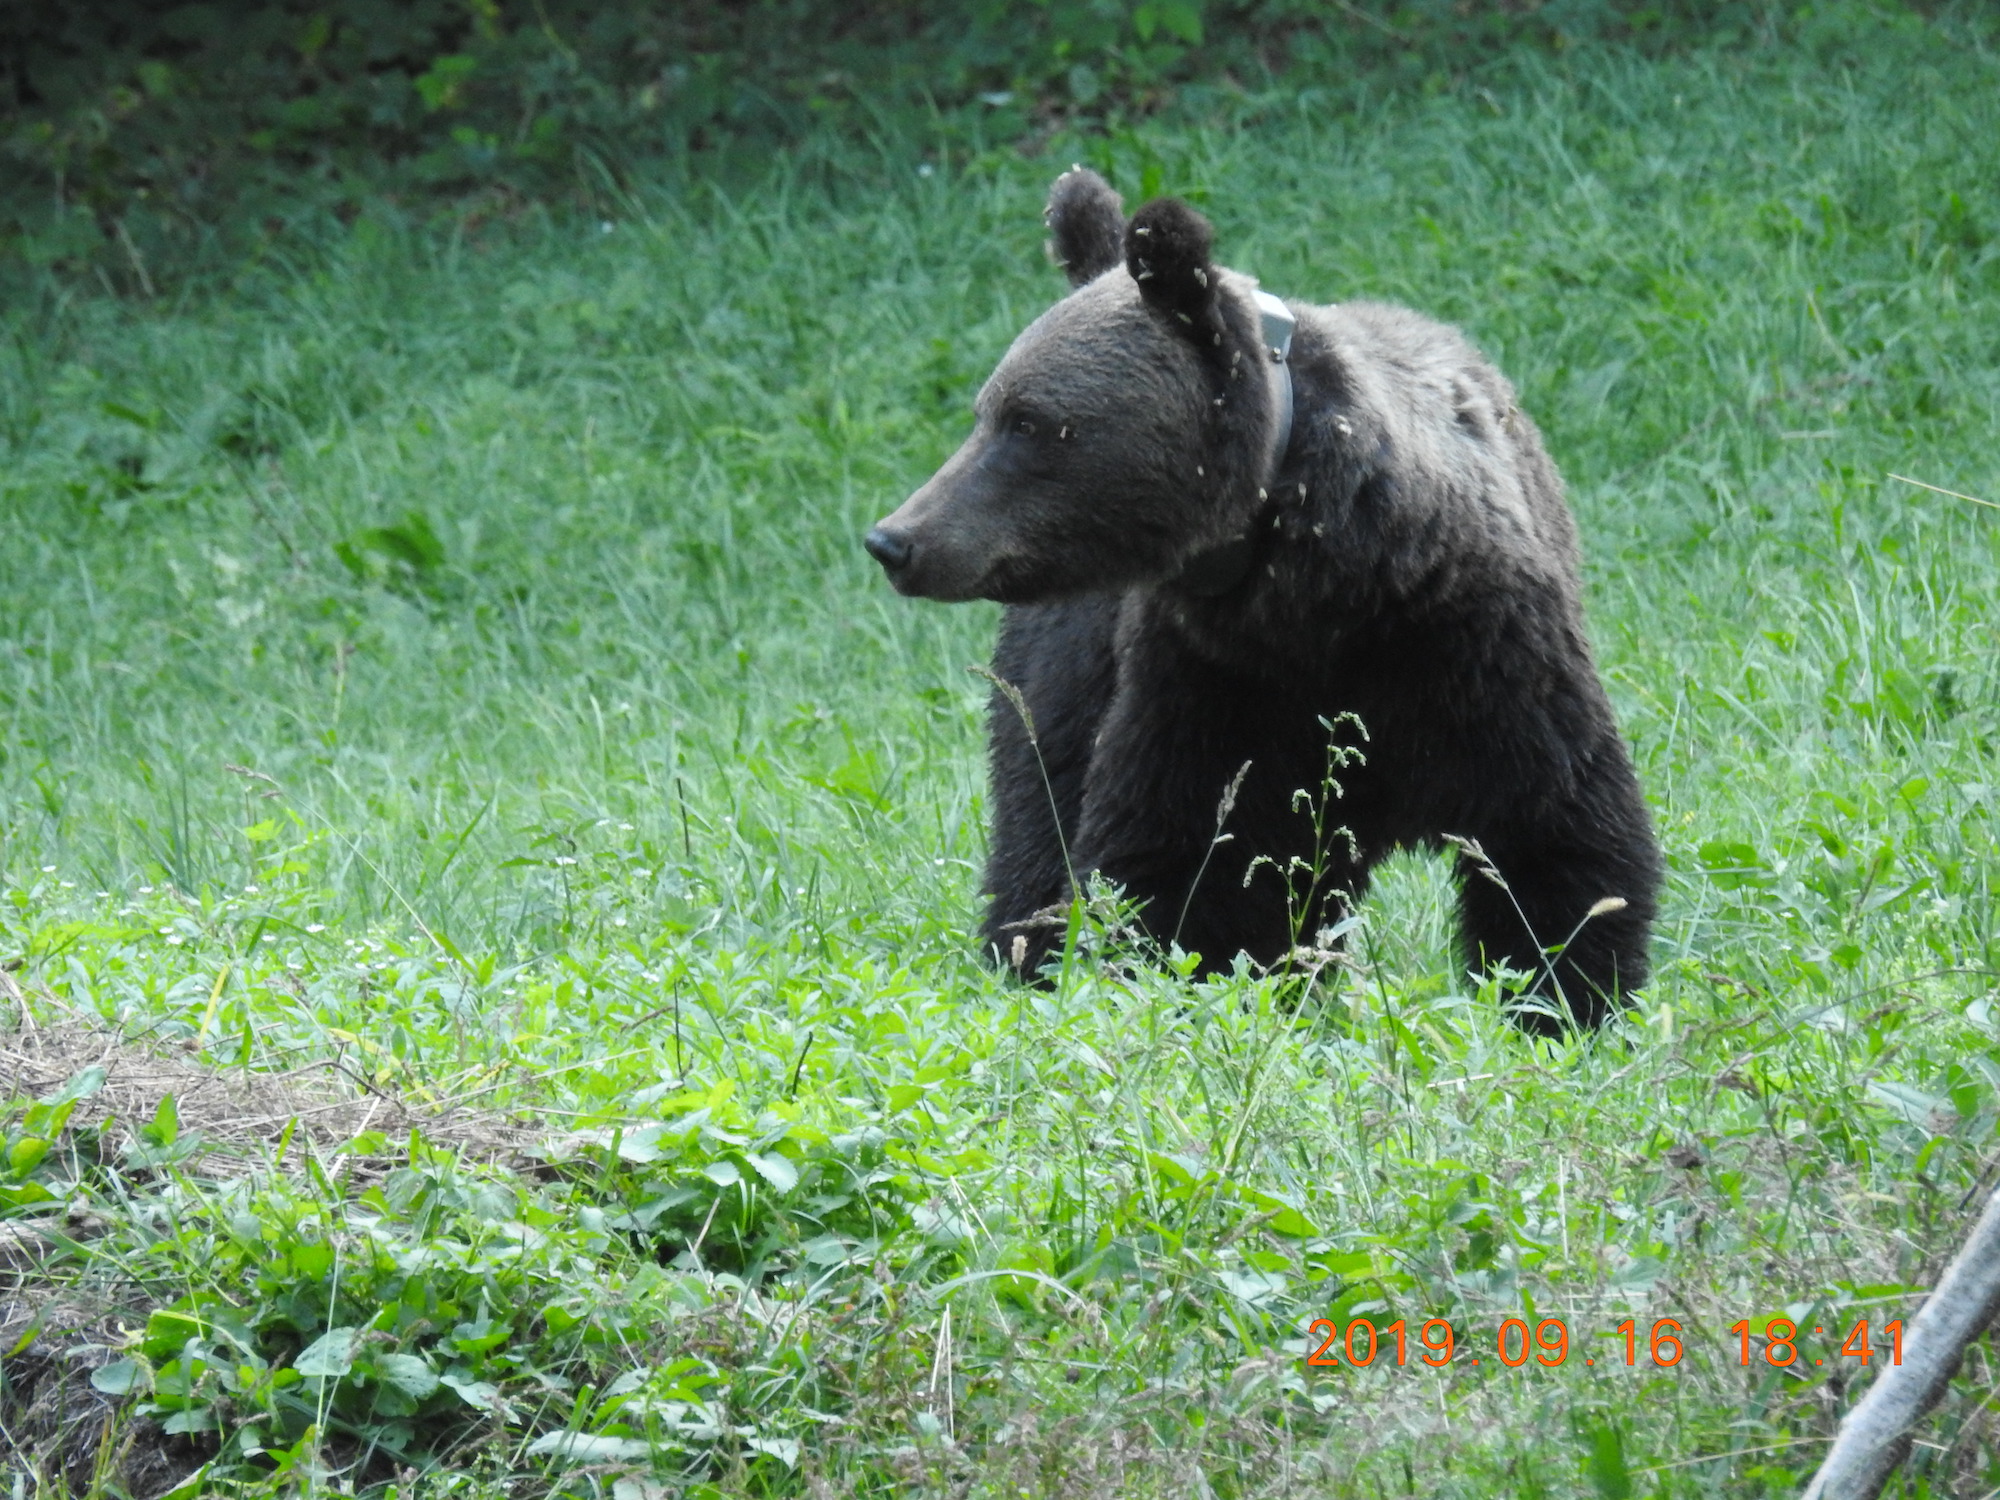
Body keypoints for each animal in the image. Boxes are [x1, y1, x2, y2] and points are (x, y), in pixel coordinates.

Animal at [860, 167, 1656, 1032]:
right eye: (988, 411)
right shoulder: (1214, 684)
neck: (1329, 590)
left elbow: (1556, 841)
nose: (896, 539)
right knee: (1037, 814)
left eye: (1028, 421)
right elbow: (1192, 869)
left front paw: (1562, 1000)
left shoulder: (1477, 656)